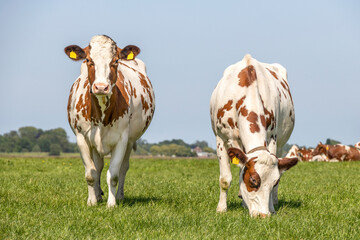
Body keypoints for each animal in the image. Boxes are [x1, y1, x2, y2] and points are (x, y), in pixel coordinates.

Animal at [64, 34, 155, 207]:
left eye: (116, 60)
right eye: (88, 60)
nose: (101, 87)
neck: (101, 116)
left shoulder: (122, 140)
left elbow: (113, 174)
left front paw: (111, 204)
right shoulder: (81, 138)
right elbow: (91, 173)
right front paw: (92, 201)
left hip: (130, 141)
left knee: (123, 168)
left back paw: (119, 196)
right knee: (98, 166)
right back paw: (98, 195)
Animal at [208, 54, 298, 218]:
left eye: (274, 182)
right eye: (252, 180)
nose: (263, 215)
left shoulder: (272, 140)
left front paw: (272, 208)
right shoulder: (221, 139)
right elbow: (225, 179)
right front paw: (221, 209)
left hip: (281, 145)